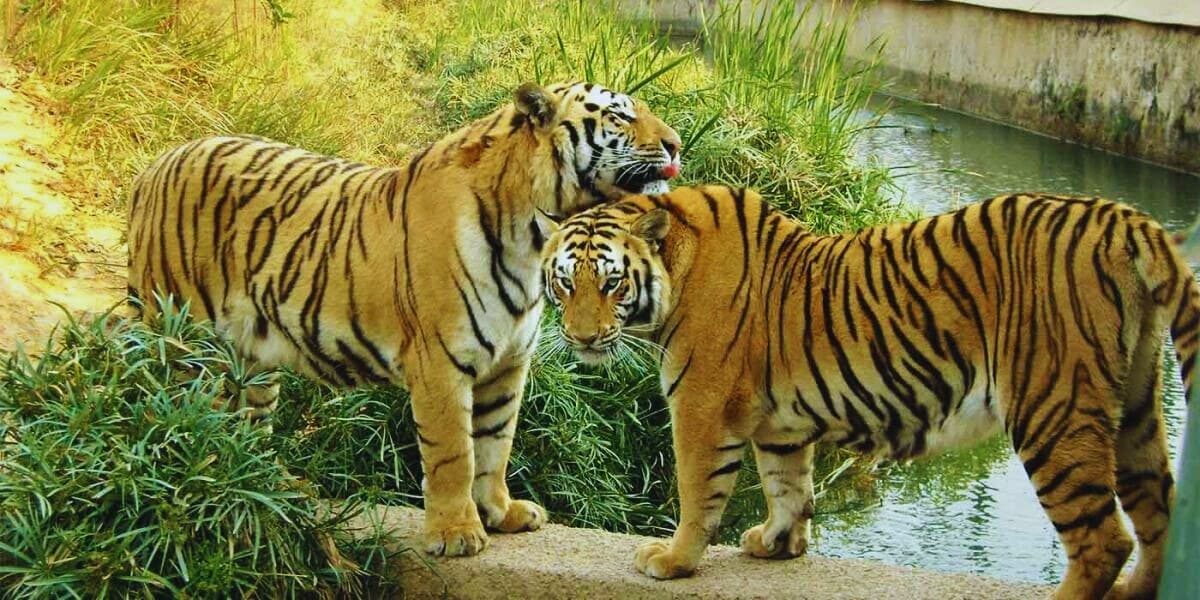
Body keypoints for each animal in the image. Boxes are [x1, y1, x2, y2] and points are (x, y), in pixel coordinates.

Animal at [126, 81, 683, 558]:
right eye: (618, 115)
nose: (676, 145)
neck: (533, 235)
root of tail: (155, 165)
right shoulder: (440, 360)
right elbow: (454, 452)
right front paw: (457, 533)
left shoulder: (508, 364)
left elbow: (495, 444)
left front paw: (500, 514)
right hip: (187, 340)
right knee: (173, 412)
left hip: (253, 361)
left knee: (243, 422)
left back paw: (262, 487)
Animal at [540, 185, 1197, 599]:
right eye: (565, 283)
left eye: (611, 282)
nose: (582, 337)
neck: (676, 268)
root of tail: (1125, 218)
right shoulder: (781, 424)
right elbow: (787, 484)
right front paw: (777, 544)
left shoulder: (700, 408)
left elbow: (698, 492)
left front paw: (673, 561)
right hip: (1137, 404)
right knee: (1158, 515)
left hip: (1053, 409)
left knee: (1103, 539)